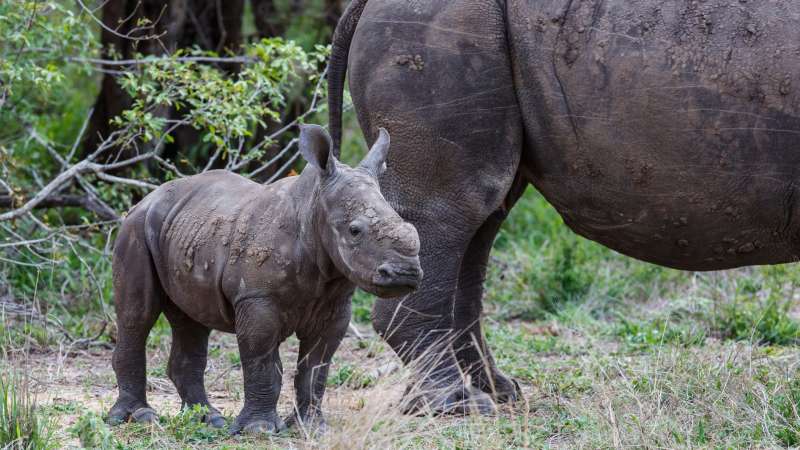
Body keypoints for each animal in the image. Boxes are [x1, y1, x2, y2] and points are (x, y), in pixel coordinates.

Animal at [107, 125, 422, 433]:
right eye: (355, 231)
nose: (405, 273)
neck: (313, 207)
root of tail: (150, 197)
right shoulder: (258, 298)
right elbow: (263, 362)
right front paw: (259, 429)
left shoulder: (335, 304)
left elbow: (316, 367)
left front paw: (312, 428)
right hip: (135, 228)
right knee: (138, 315)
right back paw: (139, 417)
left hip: (185, 229)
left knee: (192, 320)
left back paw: (208, 419)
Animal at [327, 0, 800, 413]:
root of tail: (364, 5)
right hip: (431, 32)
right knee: (450, 210)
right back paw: (458, 406)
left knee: (477, 222)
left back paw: (498, 392)